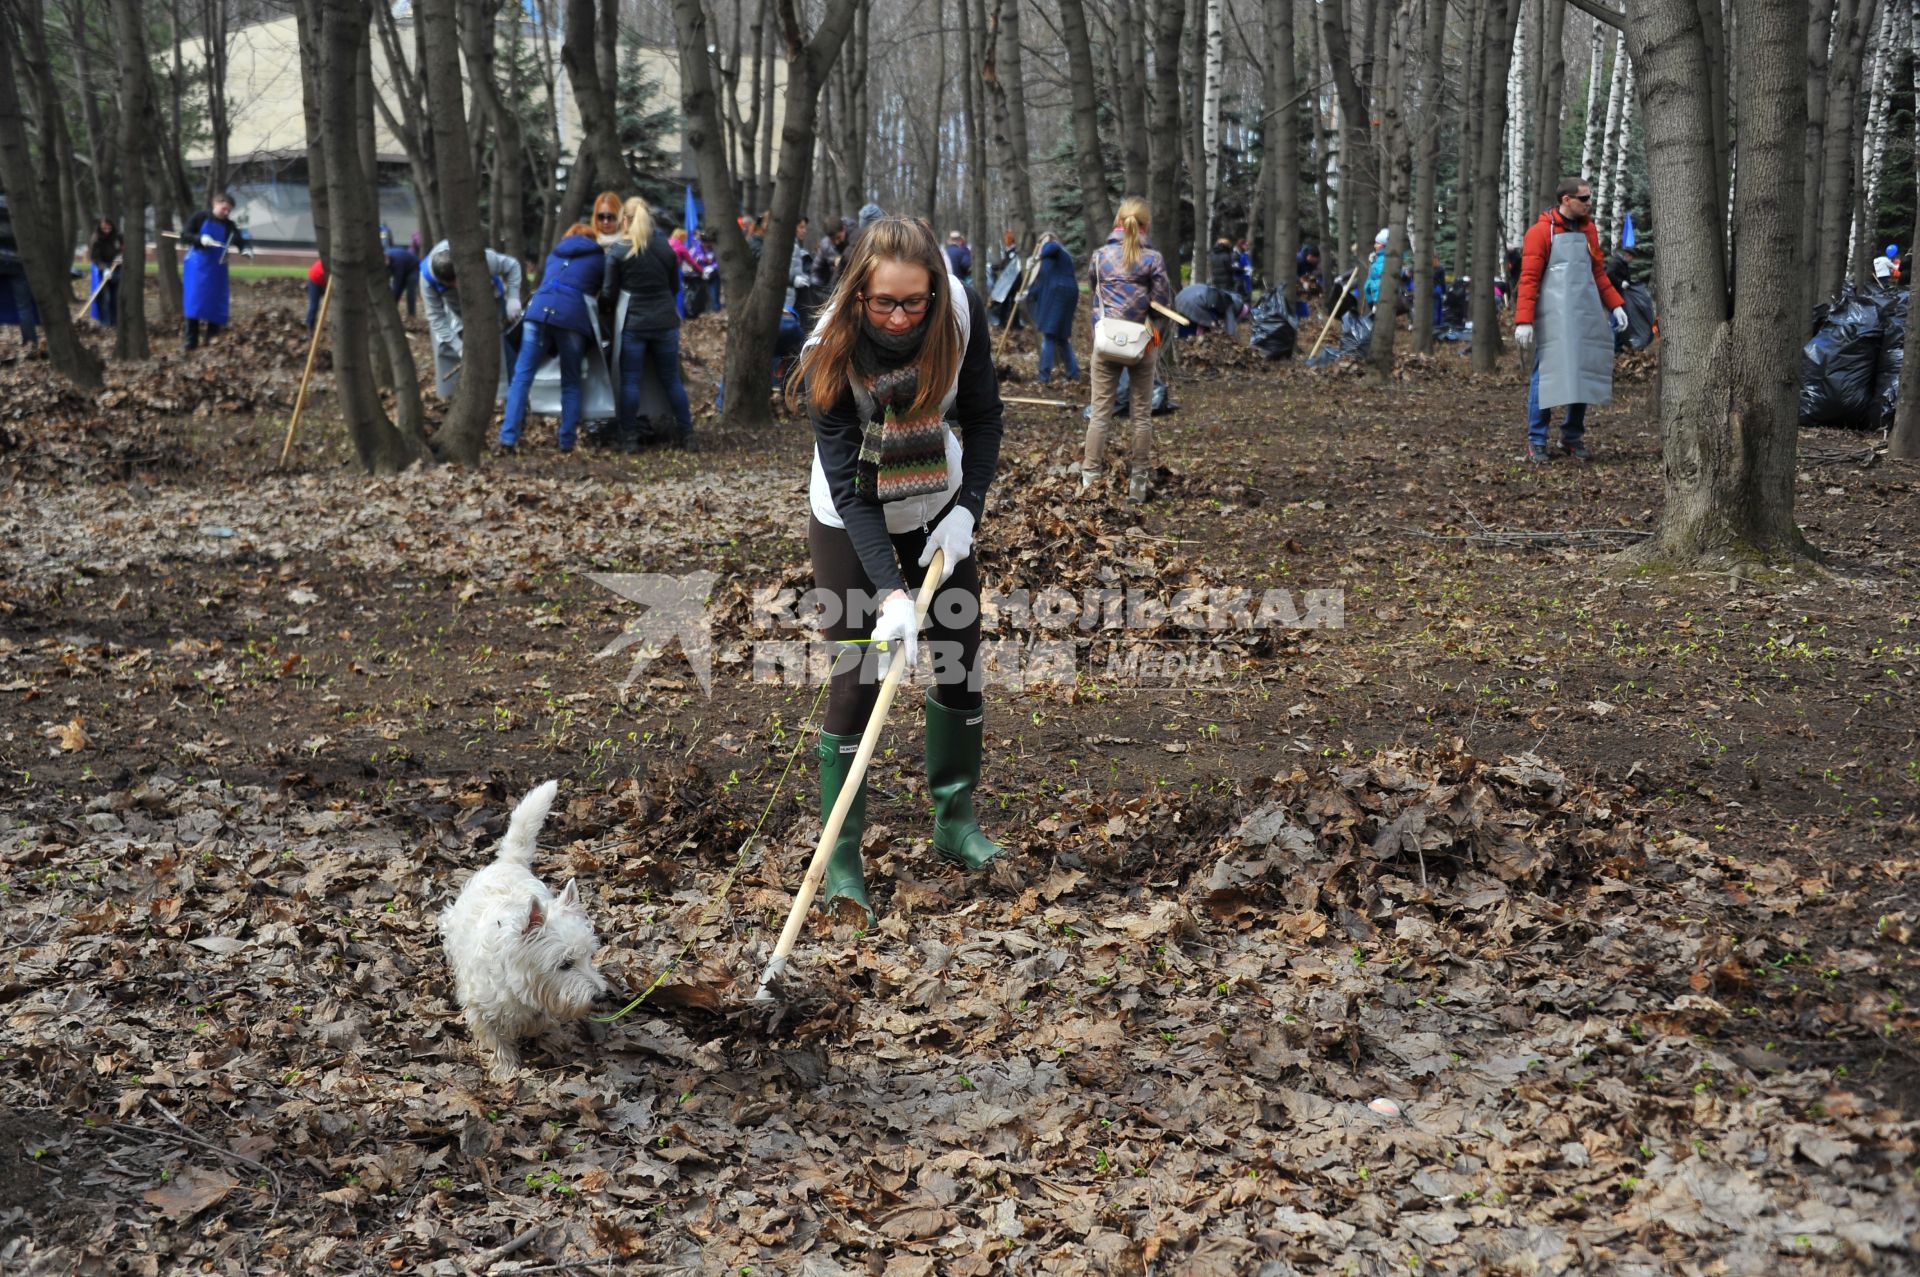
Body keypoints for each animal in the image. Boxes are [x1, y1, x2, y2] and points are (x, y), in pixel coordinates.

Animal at [439, 775, 610, 1075]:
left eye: (589, 956)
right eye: (565, 964)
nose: (600, 996)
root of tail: (509, 862)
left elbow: (539, 1020)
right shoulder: (479, 1006)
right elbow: (495, 1039)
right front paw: (505, 1071)